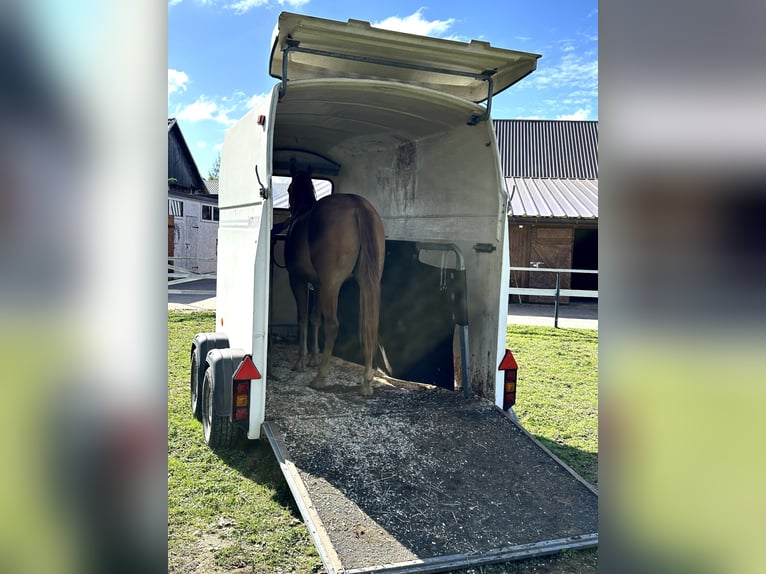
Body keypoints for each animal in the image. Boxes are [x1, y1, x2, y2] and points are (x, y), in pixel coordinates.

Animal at [284, 169, 388, 398]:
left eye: (288, 188)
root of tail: (358, 206)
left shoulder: (298, 281)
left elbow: (303, 318)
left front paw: (302, 360)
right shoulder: (318, 285)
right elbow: (314, 318)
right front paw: (313, 357)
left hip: (332, 285)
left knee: (332, 325)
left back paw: (320, 378)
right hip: (365, 282)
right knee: (370, 324)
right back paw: (366, 382)